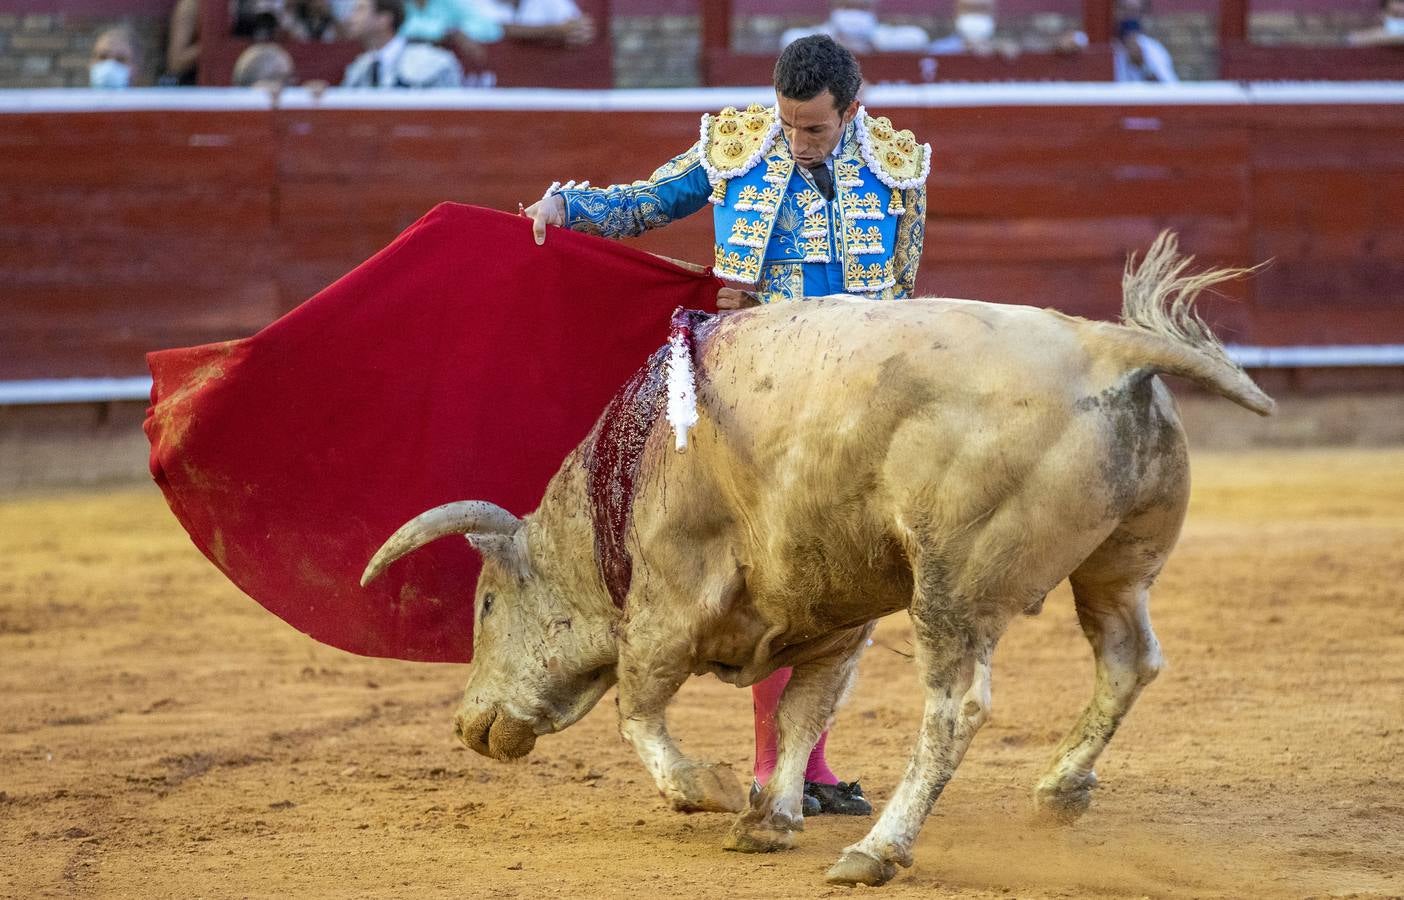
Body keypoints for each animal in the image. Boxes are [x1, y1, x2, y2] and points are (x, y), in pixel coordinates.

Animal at [359, 231, 1274, 887]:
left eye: (485, 604)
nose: (468, 724)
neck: (624, 478)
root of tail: (1104, 348)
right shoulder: (834, 620)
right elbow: (803, 710)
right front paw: (769, 818)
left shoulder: (667, 605)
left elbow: (638, 707)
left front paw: (709, 790)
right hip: (1117, 567)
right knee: (1127, 657)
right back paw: (1059, 789)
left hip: (954, 588)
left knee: (957, 707)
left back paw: (879, 850)